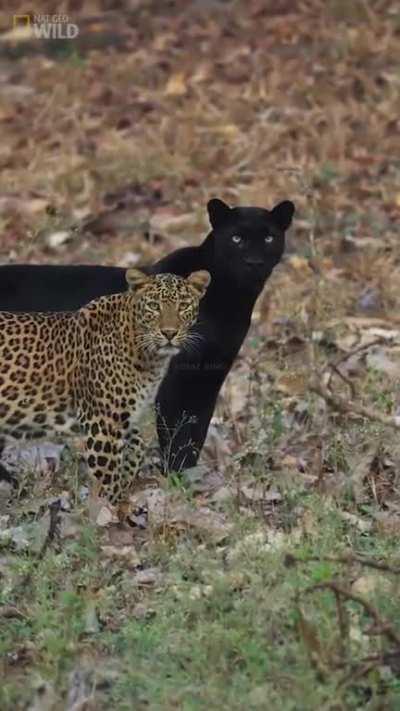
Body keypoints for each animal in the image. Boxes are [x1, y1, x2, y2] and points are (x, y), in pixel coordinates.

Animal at [0, 269, 210, 505]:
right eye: (154, 306)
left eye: (183, 305)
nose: (169, 333)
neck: (148, 357)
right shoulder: (102, 423)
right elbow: (110, 477)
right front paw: (115, 507)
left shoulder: (123, 416)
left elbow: (138, 445)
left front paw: (126, 479)